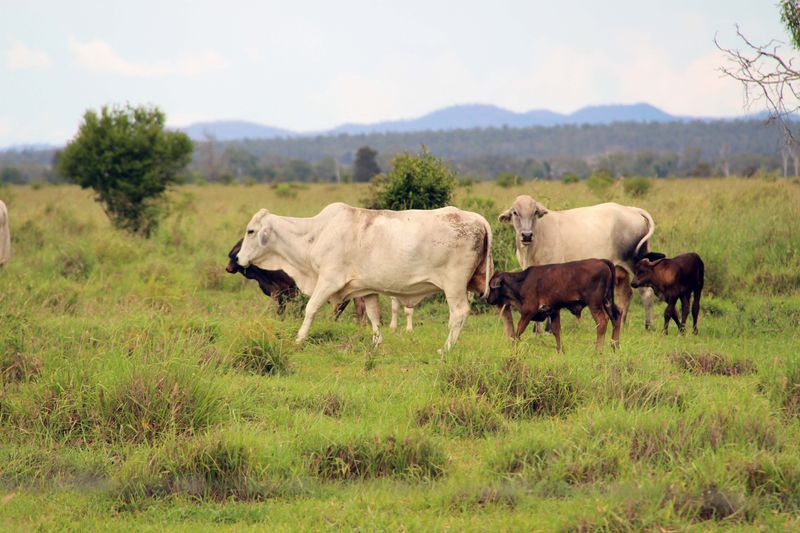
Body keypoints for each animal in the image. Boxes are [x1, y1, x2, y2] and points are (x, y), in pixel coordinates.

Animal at [234, 203, 493, 351]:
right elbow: (373, 316)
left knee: (458, 314)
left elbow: (310, 309)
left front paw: (299, 340)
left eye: (251, 231)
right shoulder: (367, 289)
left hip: (454, 286)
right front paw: (377, 343)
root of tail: (478, 219)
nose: (238, 258)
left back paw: (446, 348)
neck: (315, 234)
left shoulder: (328, 280)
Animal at [486, 259, 621, 352]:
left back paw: (598, 350)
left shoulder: (528, 311)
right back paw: (615, 346)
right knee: (617, 317)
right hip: (607, 301)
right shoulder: (554, 311)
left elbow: (519, 330)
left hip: (594, 303)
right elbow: (556, 330)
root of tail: (602, 261)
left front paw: (515, 347)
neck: (521, 282)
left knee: (602, 321)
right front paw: (559, 351)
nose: (488, 299)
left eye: (491, 287)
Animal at [499, 195, 657, 330]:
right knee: (625, 294)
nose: (526, 235)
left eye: (535, 212)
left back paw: (648, 325)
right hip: (619, 269)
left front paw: (547, 329)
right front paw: (537, 330)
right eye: (515, 213)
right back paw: (621, 325)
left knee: (646, 292)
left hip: (635, 262)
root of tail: (631, 209)